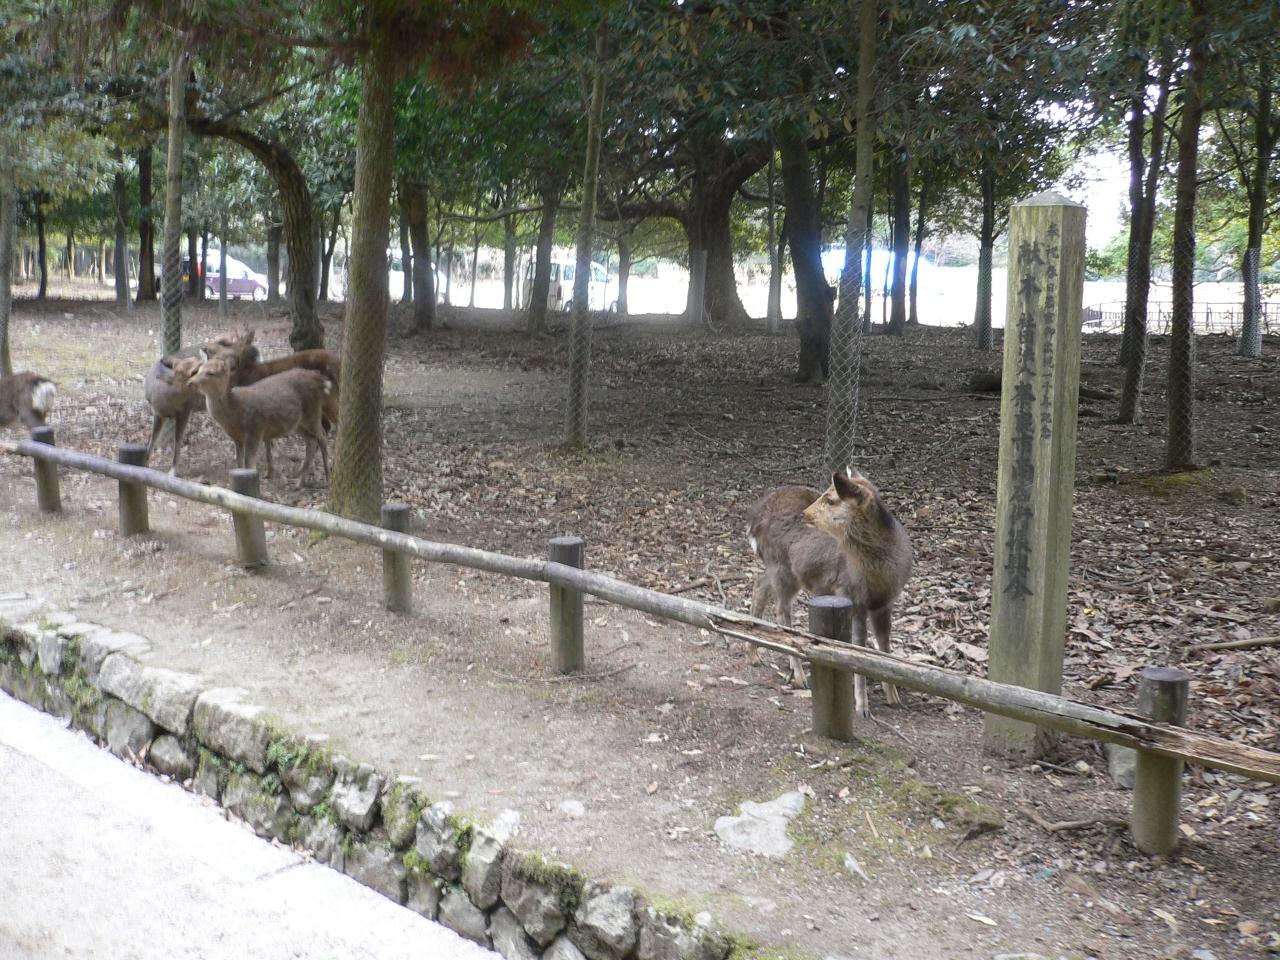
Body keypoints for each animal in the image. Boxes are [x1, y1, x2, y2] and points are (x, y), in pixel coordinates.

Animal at [187, 355, 331, 488]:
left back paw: (326, 477)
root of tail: (319, 379)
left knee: (322, 436)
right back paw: (299, 482)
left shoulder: (256, 430)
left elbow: (249, 463)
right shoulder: (237, 438)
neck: (235, 415)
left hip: (313, 412)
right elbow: (239, 462)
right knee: (311, 441)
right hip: (298, 423)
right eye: (198, 370)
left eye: (211, 372)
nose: (190, 383)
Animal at [747, 468, 912, 718]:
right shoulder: (851, 595)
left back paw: (754, 656)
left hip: (777, 568)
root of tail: (753, 520)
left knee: (759, 587)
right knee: (781, 612)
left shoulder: (885, 602)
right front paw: (862, 707)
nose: (804, 514)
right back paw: (799, 677)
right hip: (782, 568)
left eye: (832, 499)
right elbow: (858, 647)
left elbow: (885, 647)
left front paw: (894, 697)